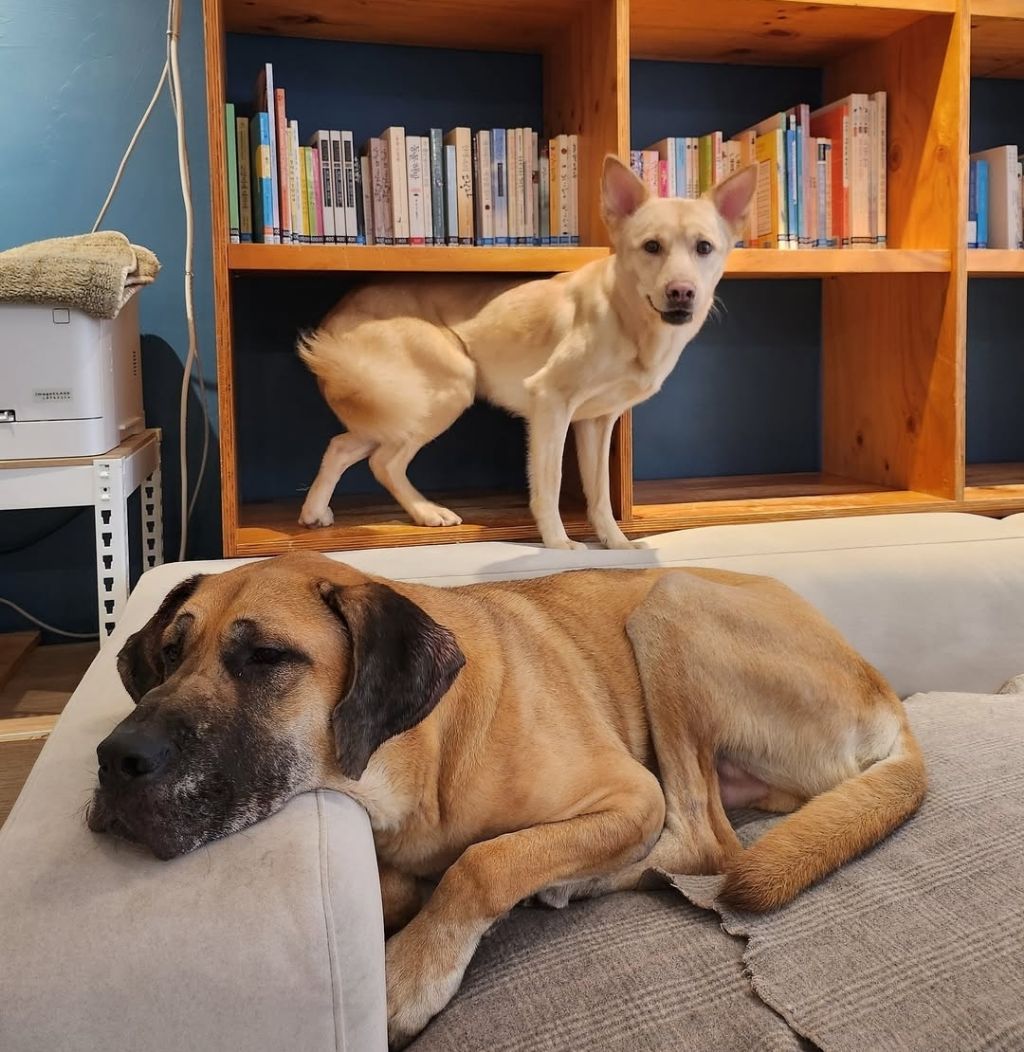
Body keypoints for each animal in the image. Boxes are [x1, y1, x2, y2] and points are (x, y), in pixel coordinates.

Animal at [89, 553, 926, 1048]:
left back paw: (576, 882)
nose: (114, 760)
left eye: (266, 657)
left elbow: (484, 863)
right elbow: (417, 877)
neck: (420, 756)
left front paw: (410, 972)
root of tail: (890, 701)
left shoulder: (631, 796)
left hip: (671, 602)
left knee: (706, 841)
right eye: (168, 652)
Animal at [296, 157, 758, 550]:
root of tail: (336, 318)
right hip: (445, 387)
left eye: (704, 248)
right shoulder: (550, 403)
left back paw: (315, 512)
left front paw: (616, 543)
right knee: (384, 462)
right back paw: (426, 511)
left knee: (343, 446)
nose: (682, 292)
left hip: (393, 405)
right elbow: (550, 483)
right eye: (651, 247)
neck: (626, 315)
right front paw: (559, 544)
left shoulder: (596, 422)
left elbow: (599, 494)